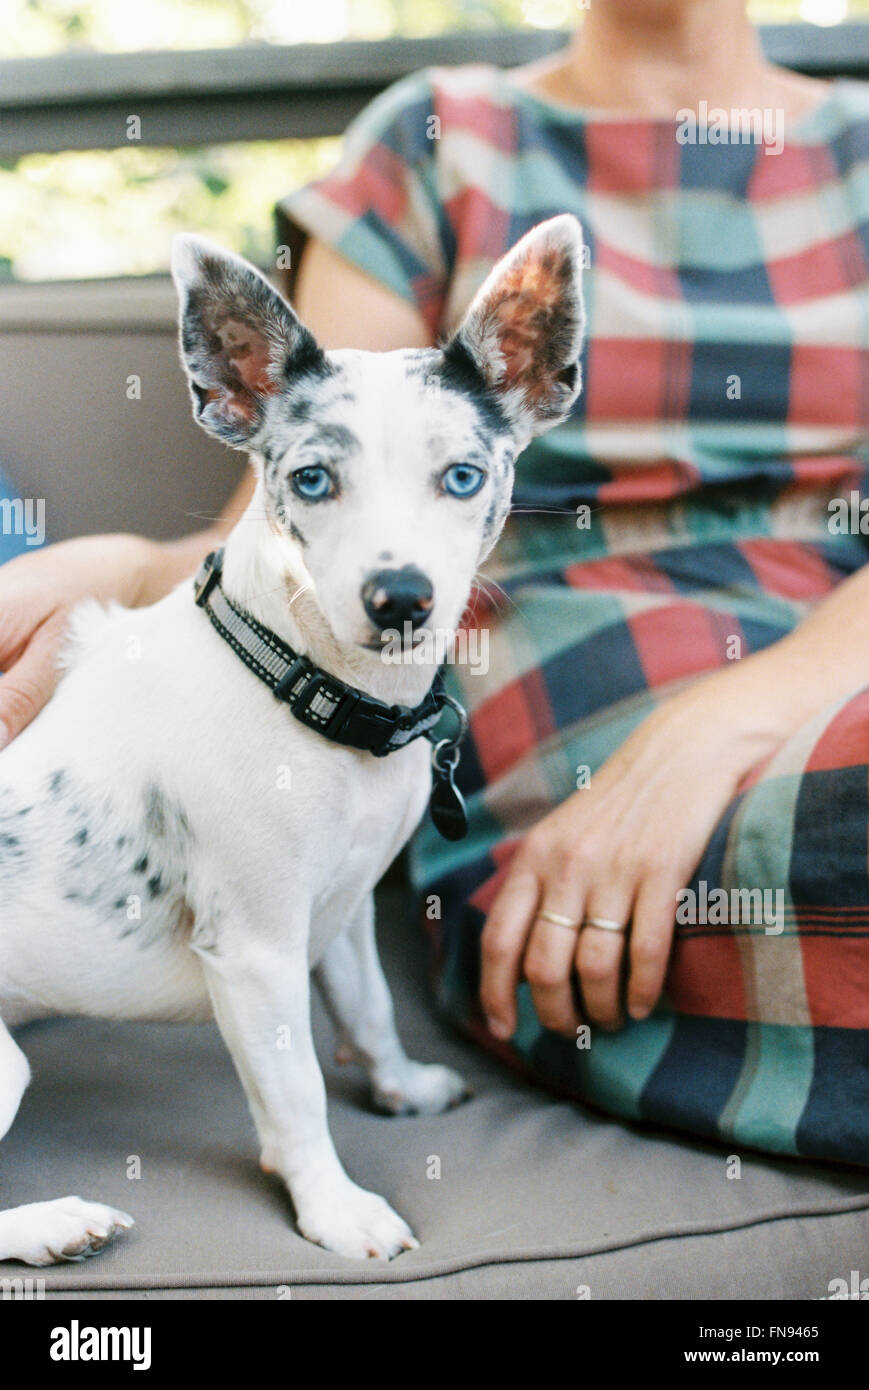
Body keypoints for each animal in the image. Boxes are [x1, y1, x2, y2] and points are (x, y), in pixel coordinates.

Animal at [0, 214, 586, 1262]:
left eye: (463, 478)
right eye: (311, 480)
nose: (400, 597)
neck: (317, 697)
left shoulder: (342, 911)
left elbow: (372, 1009)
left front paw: (401, 1088)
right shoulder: (258, 955)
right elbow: (298, 1093)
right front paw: (334, 1208)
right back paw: (52, 1224)